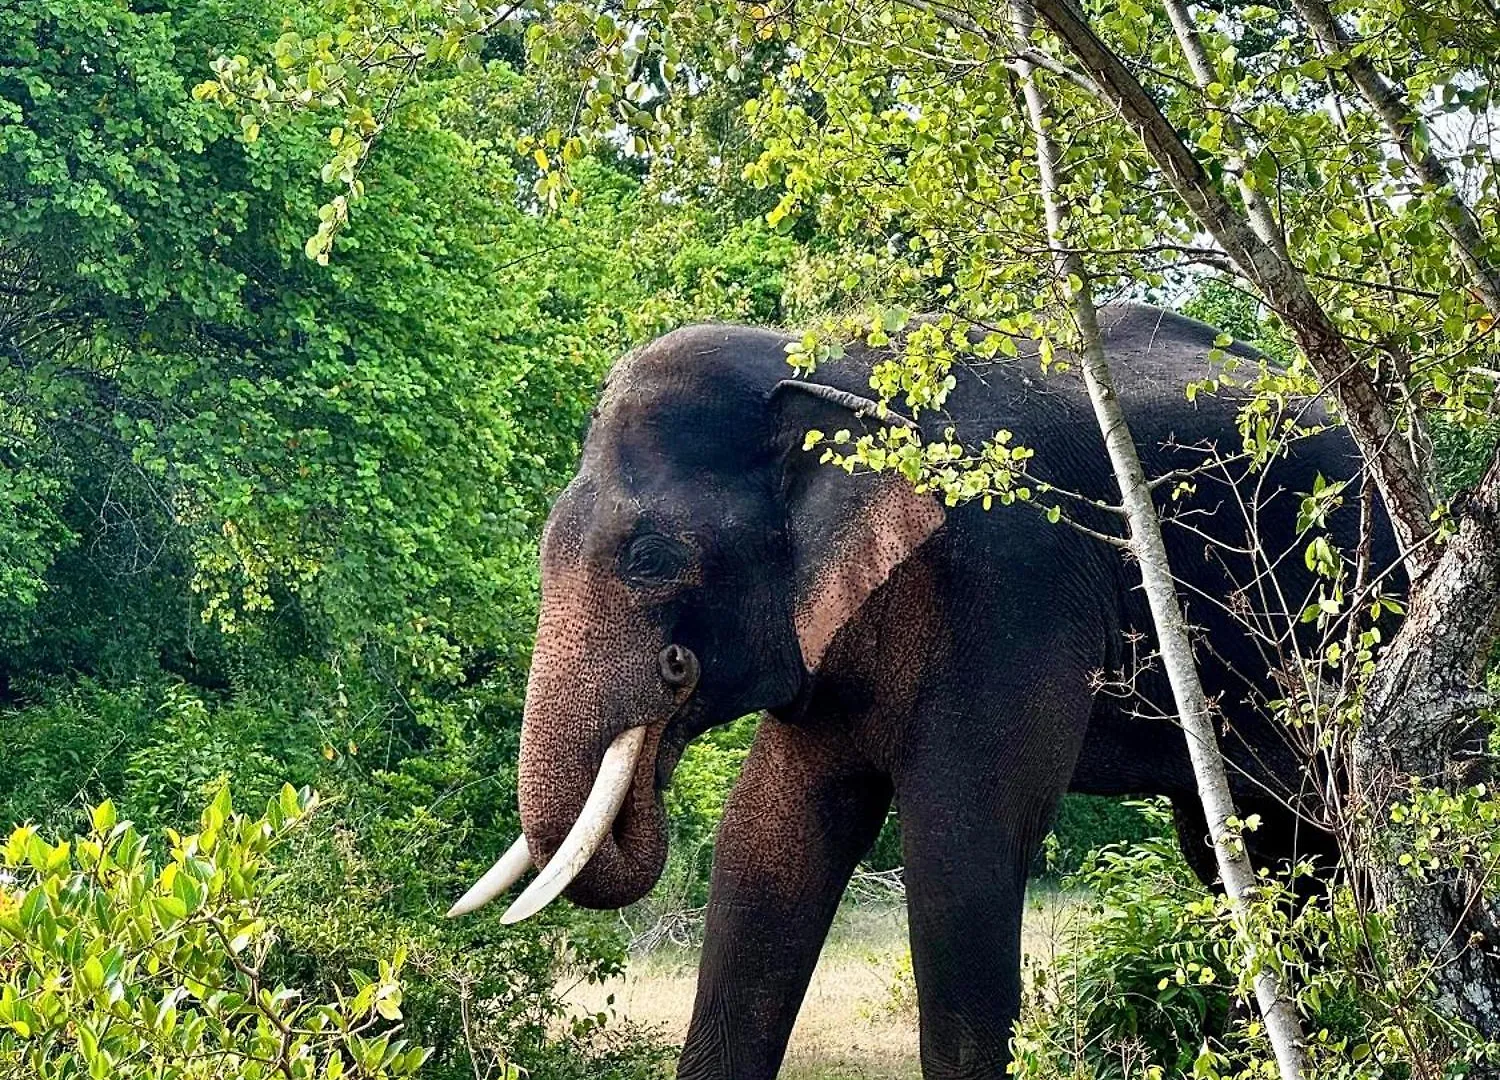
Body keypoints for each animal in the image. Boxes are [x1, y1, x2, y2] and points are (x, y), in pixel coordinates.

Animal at [444, 301, 1392, 1080]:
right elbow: (768, 833)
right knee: (1264, 848)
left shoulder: (1015, 578)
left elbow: (962, 841)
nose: (673, 677)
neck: (816, 357)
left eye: (652, 561)